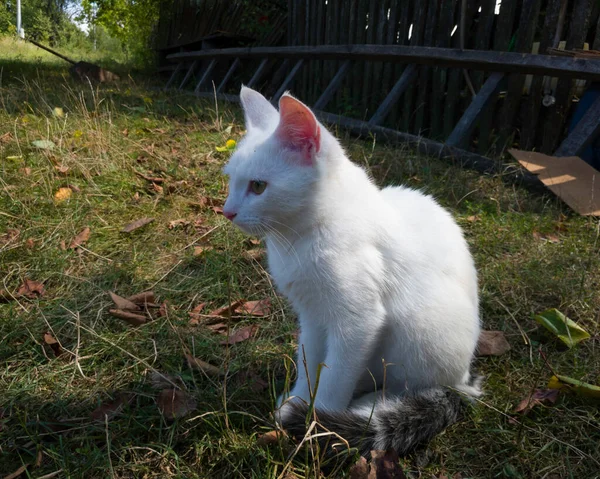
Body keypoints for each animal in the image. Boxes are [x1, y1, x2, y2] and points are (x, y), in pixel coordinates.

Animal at [223, 86, 480, 458]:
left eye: (258, 186)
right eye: (230, 181)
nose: (226, 211)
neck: (299, 238)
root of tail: (465, 380)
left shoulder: (359, 321)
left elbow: (335, 374)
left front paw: (318, 422)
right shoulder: (312, 315)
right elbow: (310, 361)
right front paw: (299, 400)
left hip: (420, 335)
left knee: (417, 389)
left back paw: (372, 407)